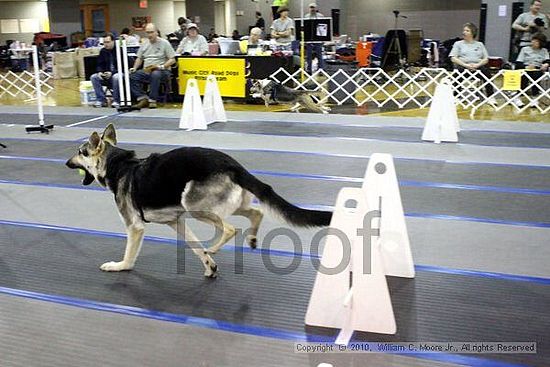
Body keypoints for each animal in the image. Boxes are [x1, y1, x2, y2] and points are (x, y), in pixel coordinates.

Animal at [64, 125, 332, 278]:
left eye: (80, 152)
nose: (66, 163)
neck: (117, 165)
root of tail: (232, 164)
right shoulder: (177, 223)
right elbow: (194, 247)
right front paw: (209, 266)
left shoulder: (135, 227)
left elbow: (130, 254)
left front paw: (120, 266)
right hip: (230, 204)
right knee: (256, 214)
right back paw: (249, 239)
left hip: (195, 207)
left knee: (230, 229)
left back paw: (216, 246)